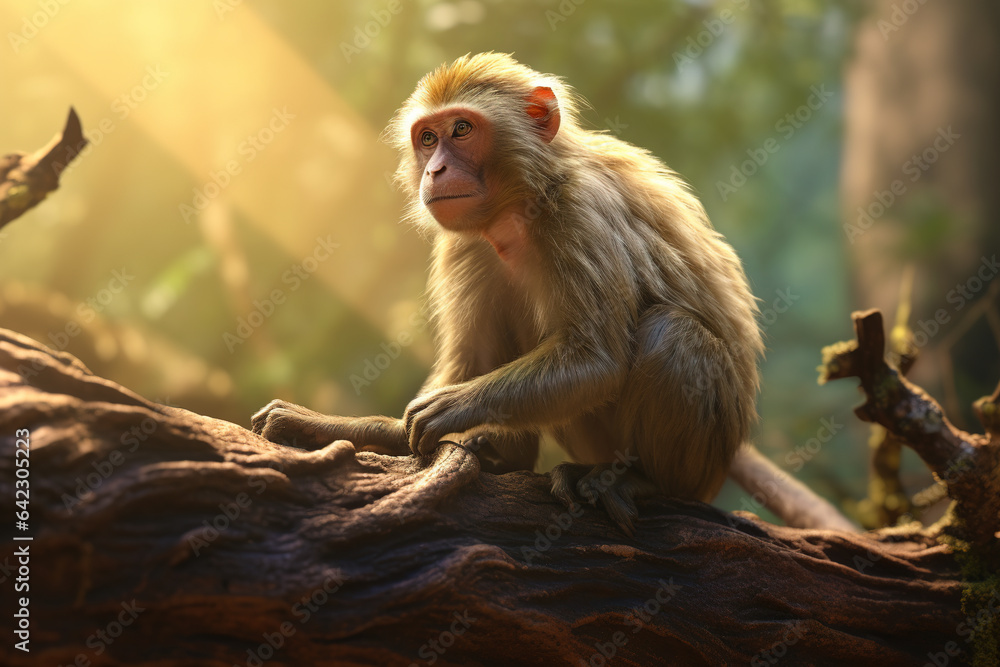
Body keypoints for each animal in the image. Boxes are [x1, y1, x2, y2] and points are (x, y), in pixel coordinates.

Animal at [252, 53, 855, 535]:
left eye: (462, 129)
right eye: (427, 138)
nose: (436, 170)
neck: (524, 204)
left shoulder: (580, 213)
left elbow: (596, 362)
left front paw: (450, 409)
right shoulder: (465, 244)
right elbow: (470, 361)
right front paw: (351, 427)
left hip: (705, 458)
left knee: (671, 332)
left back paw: (644, 482)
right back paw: (509, 452)